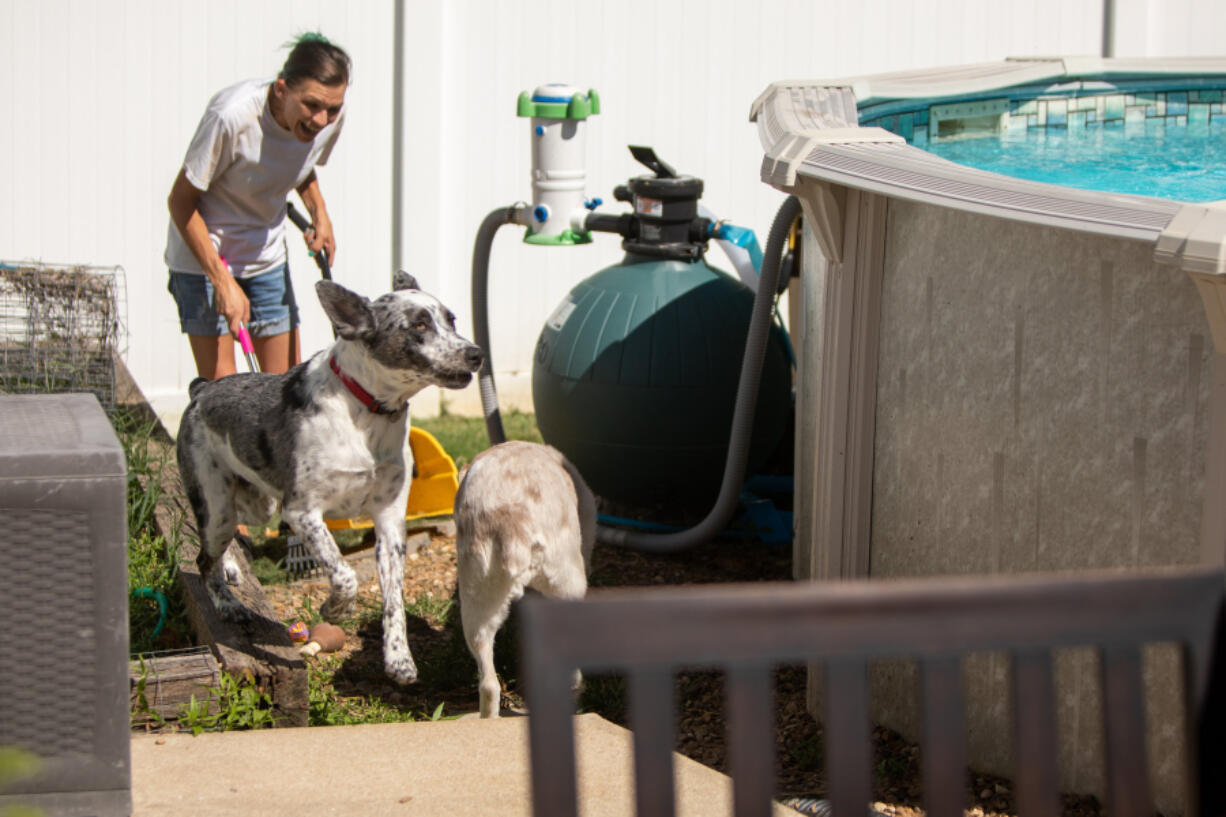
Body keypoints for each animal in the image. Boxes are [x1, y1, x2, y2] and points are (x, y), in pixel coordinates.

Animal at [177, 272, 483, 682]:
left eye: (451, 320)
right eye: (419, 325)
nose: (476, 353)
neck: (367, 411)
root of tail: (202, 390)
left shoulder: (389, 521)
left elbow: (394, 599)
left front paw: (399, 659)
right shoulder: (302, 512)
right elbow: (344, 573)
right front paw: (334, 610)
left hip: (257, 504)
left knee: (222, 546)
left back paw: (229, 568)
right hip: (218, 507)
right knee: (202, 559)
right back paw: (228, 605)